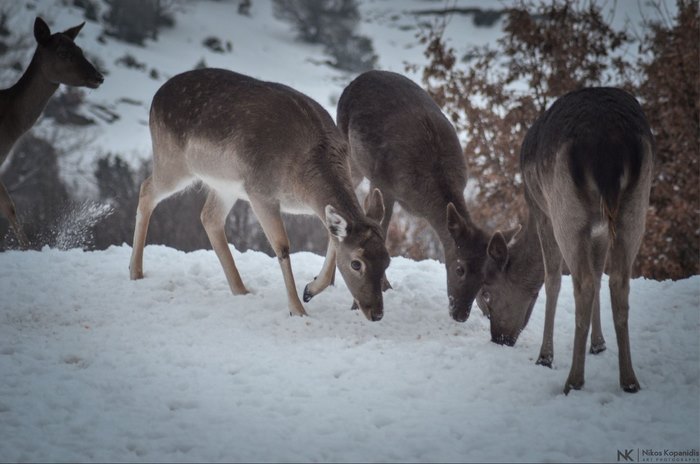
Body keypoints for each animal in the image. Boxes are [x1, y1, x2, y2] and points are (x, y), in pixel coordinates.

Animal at [129, 69, 392, 320]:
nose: (377, 313)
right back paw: (135, 271)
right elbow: (282, 247)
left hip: (224, 186)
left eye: (387, 261)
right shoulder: (261, 193)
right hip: (172, 162)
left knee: (209, 217)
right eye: (356, 263)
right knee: (146, 190)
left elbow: (331, 237)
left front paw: (310, 289)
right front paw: (297, 309)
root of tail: (156, 96)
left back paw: (241, 289)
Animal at [336, 70, 490, 320]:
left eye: (486, 274)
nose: (460, 313)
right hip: (350, 152)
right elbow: (380, 230)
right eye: (459, 268)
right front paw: (363, 299)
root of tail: (355, 80)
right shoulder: (383, 183)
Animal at [478, 86, 652, 392]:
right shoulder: (600, 227)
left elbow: (553, 279)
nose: (498, 338)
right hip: (635, 206)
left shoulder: (542, 209)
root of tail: (609, 142)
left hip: (565, 208)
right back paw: (629, 380)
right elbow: (599, 274)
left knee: (582, 283)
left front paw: (546, 357)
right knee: (618, 280)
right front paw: (599, 344)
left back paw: (573, 379)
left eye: (488, 291)